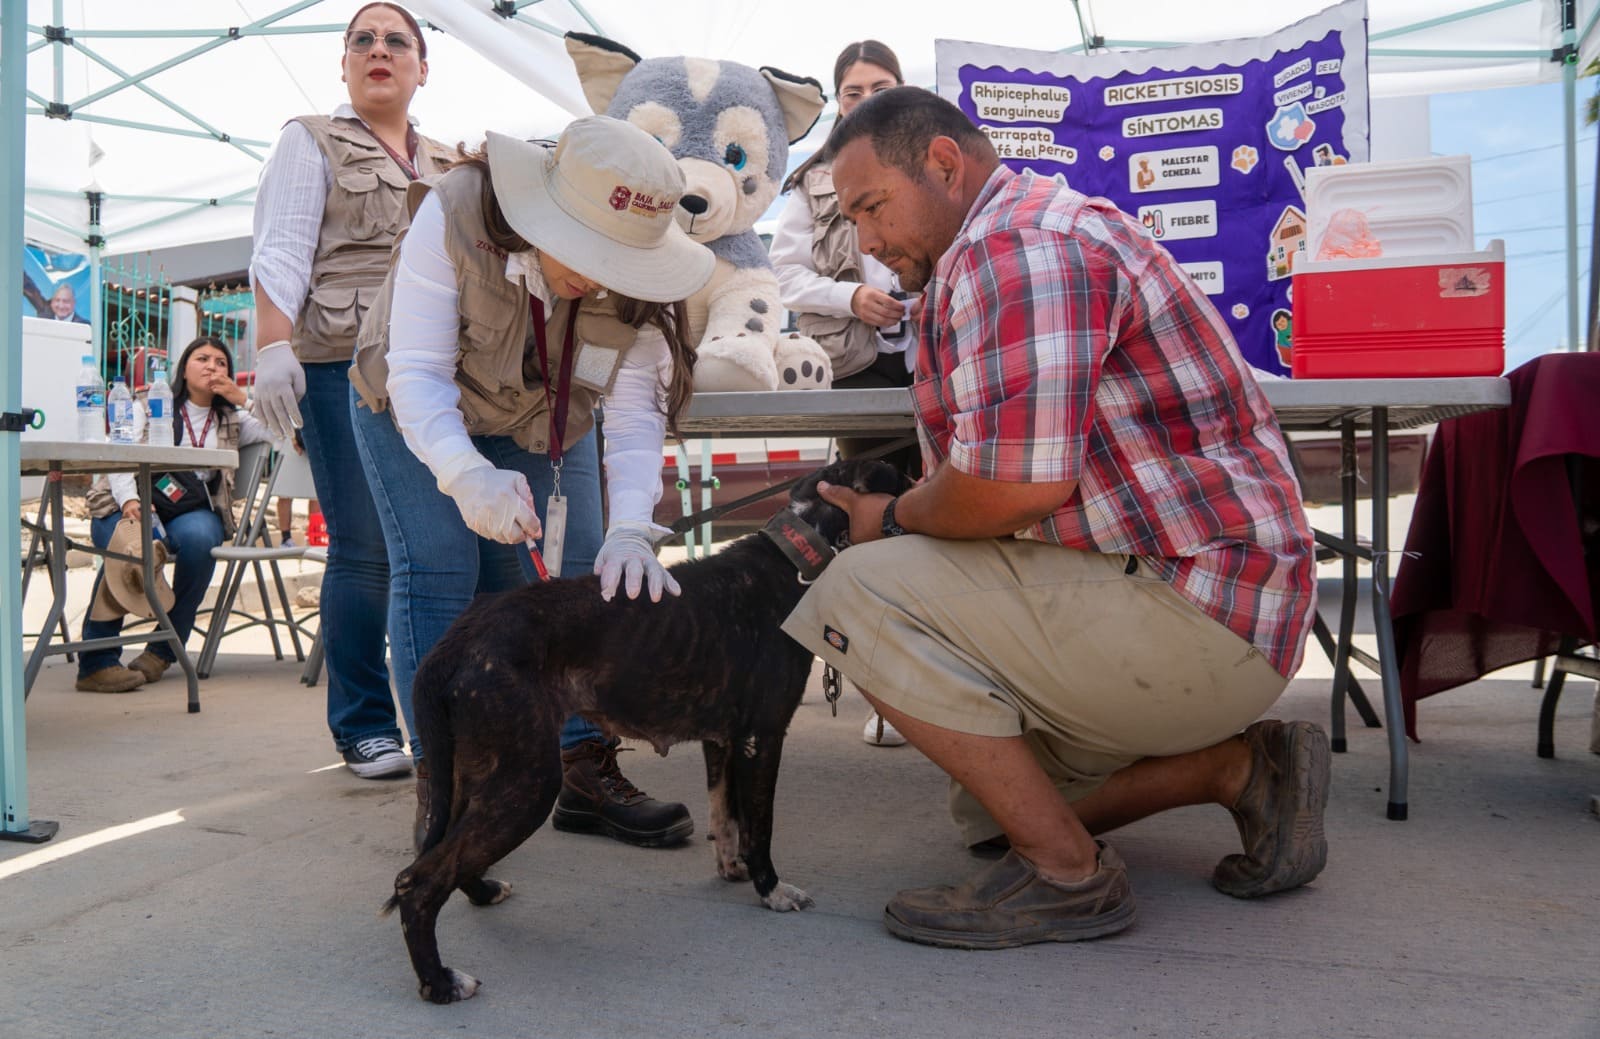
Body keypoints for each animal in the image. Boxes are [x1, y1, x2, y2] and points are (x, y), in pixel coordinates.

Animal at [385, 457, 908, 998]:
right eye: (904, 481)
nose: (916, 499)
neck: (794, 554)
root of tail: (462, 635)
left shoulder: (722, 742)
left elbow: (726, 816)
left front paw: (732, 869)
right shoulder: (761, 740)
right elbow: (759, 826)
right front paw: (770, 888)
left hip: (477, 770)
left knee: (444, 853)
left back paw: (482, 892)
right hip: (526, 779)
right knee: (417, 881)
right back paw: (440, 982)